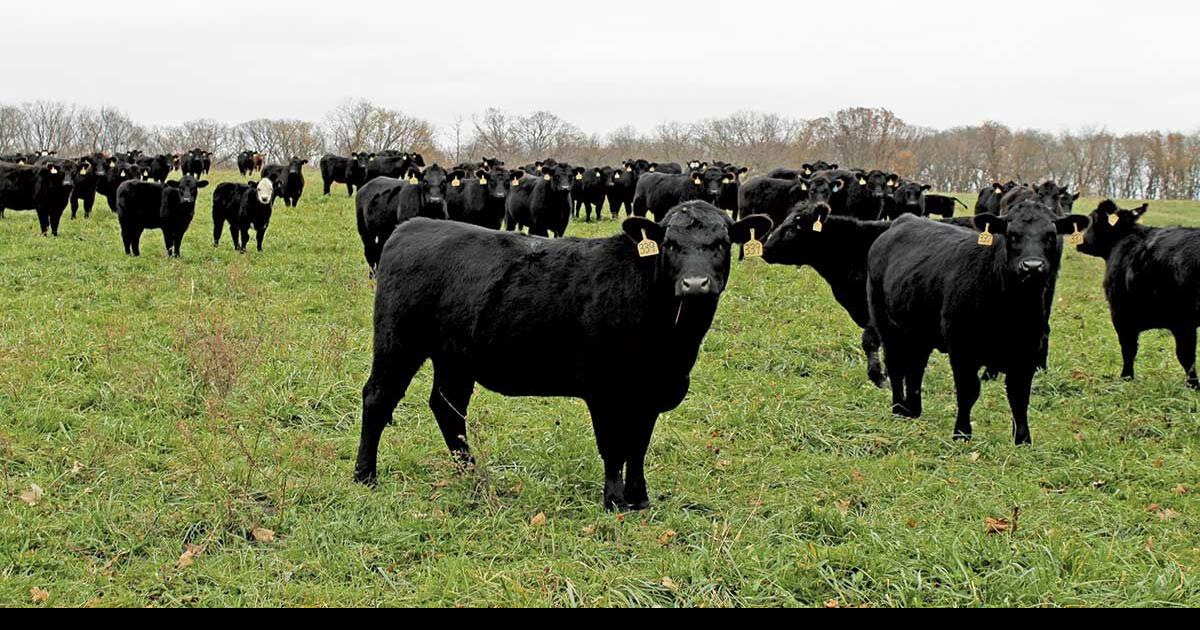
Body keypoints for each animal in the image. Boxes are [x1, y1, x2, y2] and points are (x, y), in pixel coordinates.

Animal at [354, 201, 773, 510]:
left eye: (721, 243)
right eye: (669, 244)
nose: (695, 284)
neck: (673, 345)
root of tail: (411, 226)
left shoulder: (651, 393)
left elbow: (638, 446)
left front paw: (639, 499)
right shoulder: (605, 390)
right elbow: (613, 447)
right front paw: (614, 501)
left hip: (454, 356)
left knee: (448, 408)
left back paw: (469, 473)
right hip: (398, 341)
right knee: (378, 398)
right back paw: (365, 476)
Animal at [866, 205, 1089, 444]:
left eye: (1050, 235)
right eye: (1011, 234)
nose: (1032, 266)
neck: (1013, 310)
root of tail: (904, 220)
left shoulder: (1028, 349)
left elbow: (1019, 395)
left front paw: (1023, 439)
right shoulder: (962, 348)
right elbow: (968, 391)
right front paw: (962, 433)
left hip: (919, 331)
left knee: (916, 367)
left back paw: (913, 410)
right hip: (886, 324)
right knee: (896, 366)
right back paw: (899, 409)